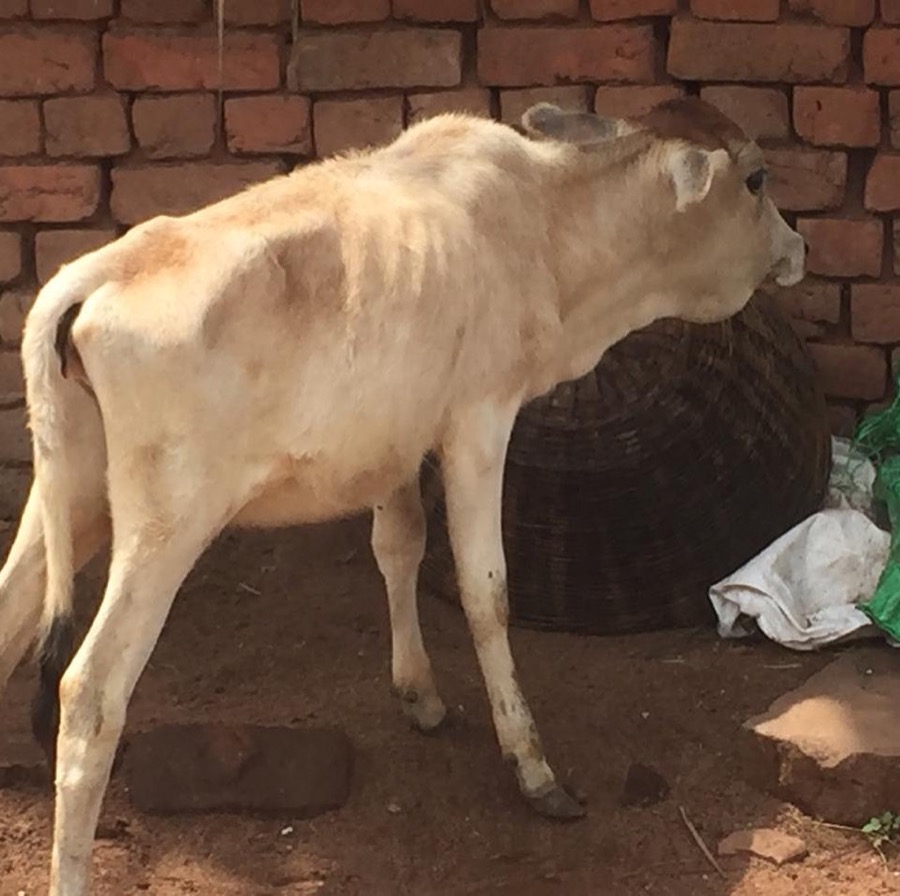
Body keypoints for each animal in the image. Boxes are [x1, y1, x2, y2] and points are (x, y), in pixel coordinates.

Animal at [0, 97, 804, 895]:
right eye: (757, 179)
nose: (796, 246)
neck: (546, 221)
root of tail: (94, 274)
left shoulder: (394, 441)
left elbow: (398, 547)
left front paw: (418, 693)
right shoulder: (480, 418)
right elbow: (486, 591)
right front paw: (533, 769)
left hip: (70, 495)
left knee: (13, 612)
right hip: (164, 525)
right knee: (90, 692)